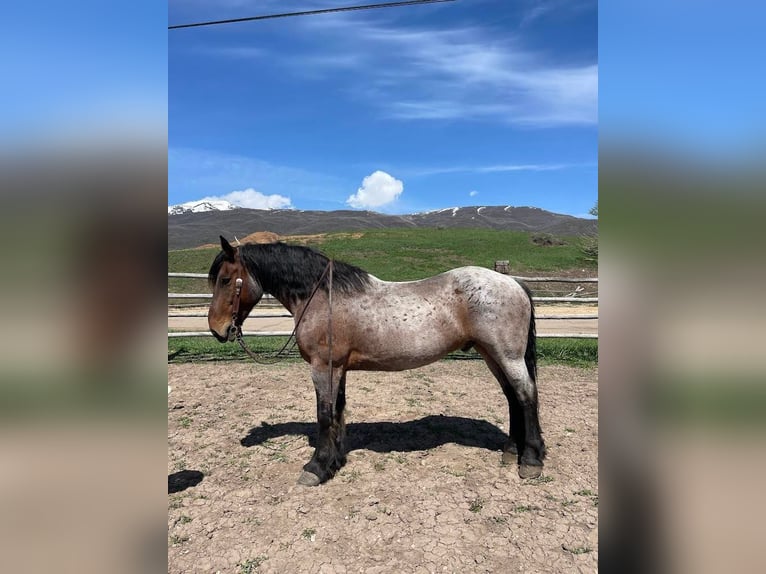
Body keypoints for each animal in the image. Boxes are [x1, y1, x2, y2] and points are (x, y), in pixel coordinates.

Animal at [208, 237, 544, 486]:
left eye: (225, 279)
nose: (217, 329)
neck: (322, 297)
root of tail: (513, 283)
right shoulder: (338, 367)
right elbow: (338, 411)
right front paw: (335, 461)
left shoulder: (322, 366)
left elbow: (324, 414)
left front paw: (316, 468)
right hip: (491, 354)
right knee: (512, 397)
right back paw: (511, 451)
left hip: (507, 355)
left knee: (526, 395)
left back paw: (530, 460)